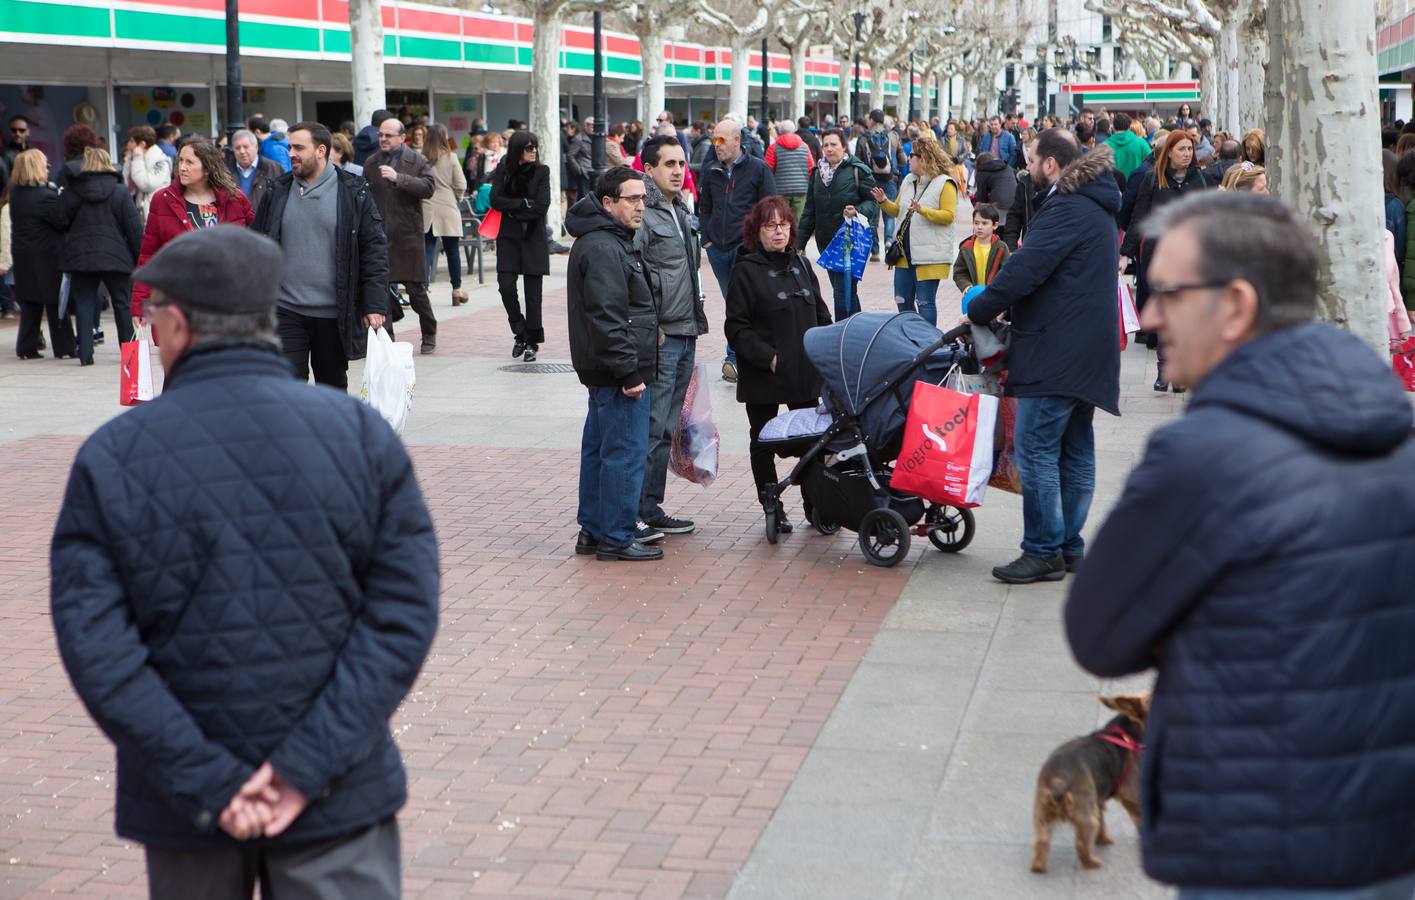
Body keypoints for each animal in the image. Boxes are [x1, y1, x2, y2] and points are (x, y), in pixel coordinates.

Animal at [1030, 696, 1148, 871]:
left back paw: (1038, 866)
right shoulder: (1131, 796)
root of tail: (1059, 780)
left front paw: (1103, 839)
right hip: (1086, 815)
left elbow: (1102, 820)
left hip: (1043, 812)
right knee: (1081, 844)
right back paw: (1092, 863)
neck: (1126, 734)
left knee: (1041, 841)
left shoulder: (1098, 799)